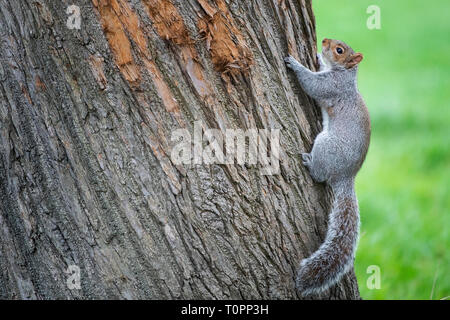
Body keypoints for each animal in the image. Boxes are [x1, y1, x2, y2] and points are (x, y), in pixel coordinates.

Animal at [286, 38, 370, 296]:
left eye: (339, 50)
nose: (323, 41)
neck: (346, 75)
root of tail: (346, 176)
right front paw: (315, 56)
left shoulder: (331, 86)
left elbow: (312, 84)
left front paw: (295, 63)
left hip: (325, 144)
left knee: (320, 176)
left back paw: (309, 164)